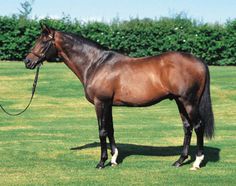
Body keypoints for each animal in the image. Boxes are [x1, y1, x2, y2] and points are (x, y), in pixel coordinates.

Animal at [23, 23, 214, 170]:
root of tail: (199, 61)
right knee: (187, 127)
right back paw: (179, 161)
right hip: (179, 102)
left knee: (198, 126)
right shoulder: (108, 104)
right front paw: (114, 159)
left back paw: (196, 163)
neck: (95, 64)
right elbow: (111, 129)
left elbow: (102, 131)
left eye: (43, 41)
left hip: (189, 102)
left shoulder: (100, 103)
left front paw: (101, 162)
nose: (27, 61)